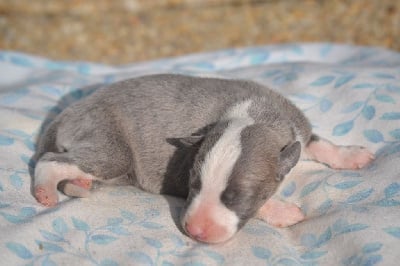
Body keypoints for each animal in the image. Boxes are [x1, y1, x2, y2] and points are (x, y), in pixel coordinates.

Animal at [32, 74, 374, 244]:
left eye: (235, 197)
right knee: (49, 160)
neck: (254, 115)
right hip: (110, 148)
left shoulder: (296, 131)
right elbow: (264, 203)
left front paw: (351, 154)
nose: (194, 232)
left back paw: (78, 182)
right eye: (193, 186)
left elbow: (320, 142)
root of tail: (67, 112)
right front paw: (283, 211)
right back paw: (45, 191)